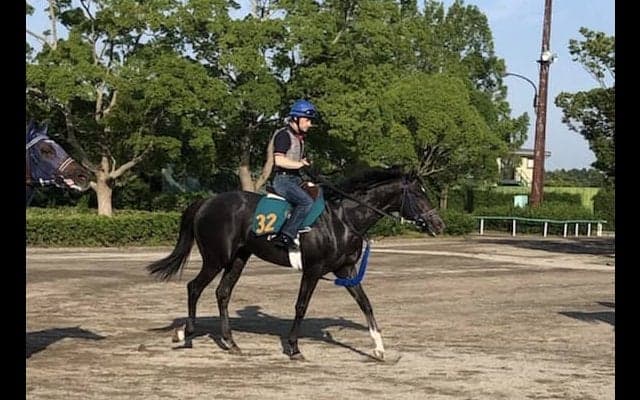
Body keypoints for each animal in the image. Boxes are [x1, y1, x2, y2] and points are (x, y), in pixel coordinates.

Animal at [146, 166, 445, 360]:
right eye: (419, 194)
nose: (439, 224)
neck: (342, 219)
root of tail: (207, 202)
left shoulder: (346, 270)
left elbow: (365, 304)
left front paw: (379, 348)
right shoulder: (312, 271)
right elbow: (301, 307)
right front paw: (293, 347)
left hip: (238, 258)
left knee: (222, 293)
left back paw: (231, 343)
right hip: (215, 258)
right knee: (194, 287)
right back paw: (186, 334)